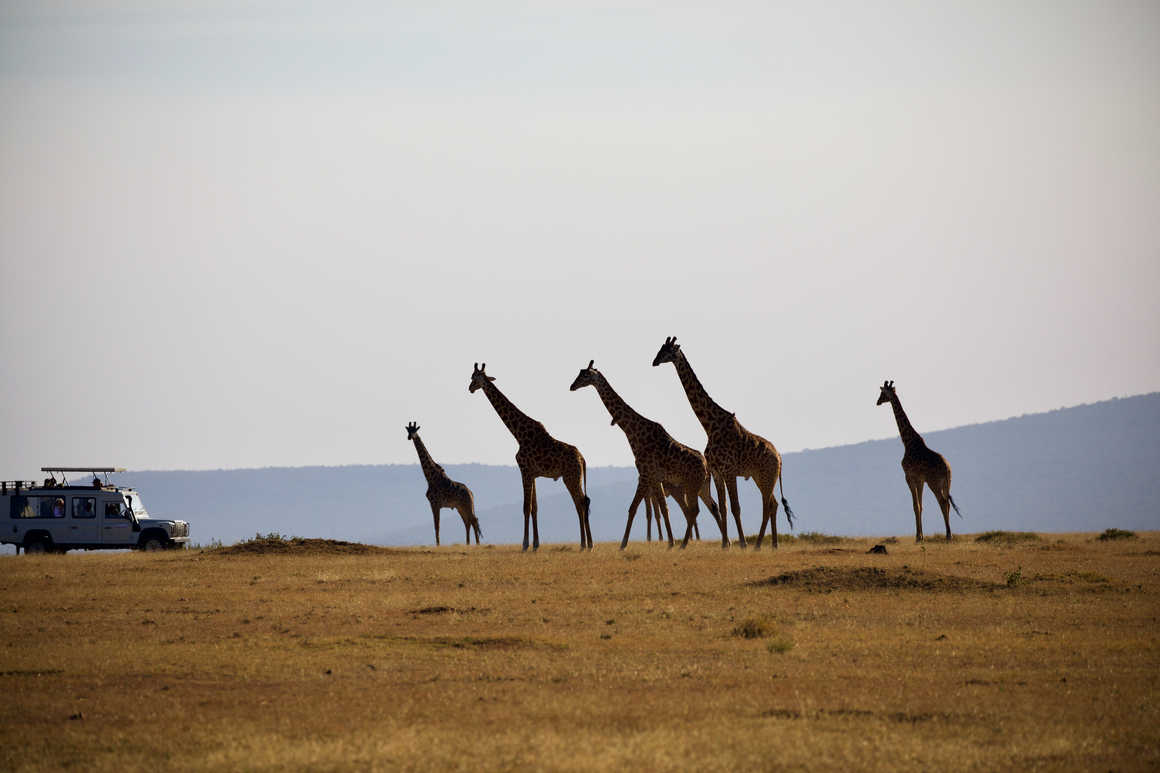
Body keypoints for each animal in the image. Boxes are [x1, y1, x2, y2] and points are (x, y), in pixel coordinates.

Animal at [466, 362, 593, 547]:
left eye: (475, 378)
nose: (470, 388)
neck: (518, 434)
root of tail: (582, 459)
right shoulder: (533, 474)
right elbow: (535, 507)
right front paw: (535, 544)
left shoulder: (524, 470)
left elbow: (526, 507)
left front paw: (525, 544)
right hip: (574, 477)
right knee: (583, 502)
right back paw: (588, 543)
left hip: (571, 477)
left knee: (581, 503)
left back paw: (586, 544)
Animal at [570, 362, 723, 547]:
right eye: (579, 373)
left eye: (585, 375)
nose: (572, 386)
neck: (633, 432)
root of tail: (706, 467)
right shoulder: (654, 477)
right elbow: (663, 509)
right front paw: (670, 542)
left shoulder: (645, 474)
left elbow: (633, 507)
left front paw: (623, 545)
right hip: (701, 486)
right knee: (711, 507)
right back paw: (725, 542)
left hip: (692, 485)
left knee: (694, 511)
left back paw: (687, 544)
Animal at [654, 336, 798, 547]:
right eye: (659, 349)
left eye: (667, 351)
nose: (654, 362)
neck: (710, 426)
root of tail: (780, 457)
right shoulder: (716, 472)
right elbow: (722, 507)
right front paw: (725, 544)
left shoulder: (729, 471)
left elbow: (736, 507)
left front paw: (743, 544)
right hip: (760, 477)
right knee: (773, 504)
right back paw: (771, 545)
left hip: (767, 476)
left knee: (768, 504)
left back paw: (758, 545)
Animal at [876, 378, 960, 536]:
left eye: (883, 393)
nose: (877, 402)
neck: (908, 442)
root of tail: (947, 468)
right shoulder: (920, 480)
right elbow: (920, 506)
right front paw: (921, 536)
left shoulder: (909, 476)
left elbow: (915, 506)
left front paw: (918, 537)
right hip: (947, 483)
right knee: (947, 503)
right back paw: (949, 534)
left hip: (934, 482)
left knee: (943, 502)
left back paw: (948, 535)